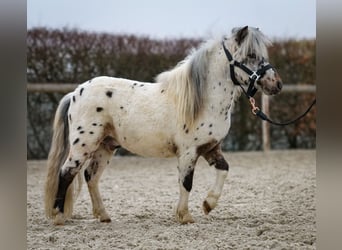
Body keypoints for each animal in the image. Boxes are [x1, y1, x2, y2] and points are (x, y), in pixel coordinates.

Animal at [44, 25, 282, 225]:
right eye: (251, 55)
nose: (277, 84)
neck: (202, 102)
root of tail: (75, 93)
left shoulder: (211, 148)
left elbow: (224, 170)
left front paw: (208, 204)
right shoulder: (188, 152)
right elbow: (186, 182)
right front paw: (185, 216)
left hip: (106, 145)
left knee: (90, 176)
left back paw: (103, 216)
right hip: (83, 145)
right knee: (66, 173)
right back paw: (59, 216)